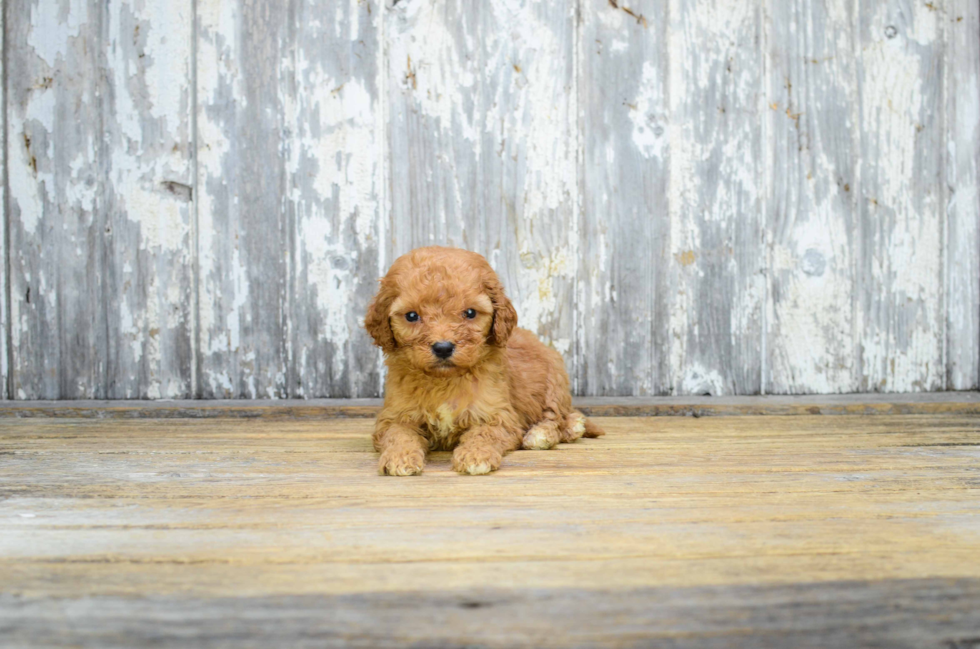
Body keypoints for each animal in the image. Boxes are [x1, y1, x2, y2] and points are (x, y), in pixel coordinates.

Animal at [364, 246, 600, 474]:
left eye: (470, 313)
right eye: (412, 316)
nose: (443, 347)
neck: (444, 380)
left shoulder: (498, 416)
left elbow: (483, 434)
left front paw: (475, 456)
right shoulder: (395, 416)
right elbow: (398, 434)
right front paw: (400, 458)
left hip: (555, 381)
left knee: (558, 417)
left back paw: (548, 433)